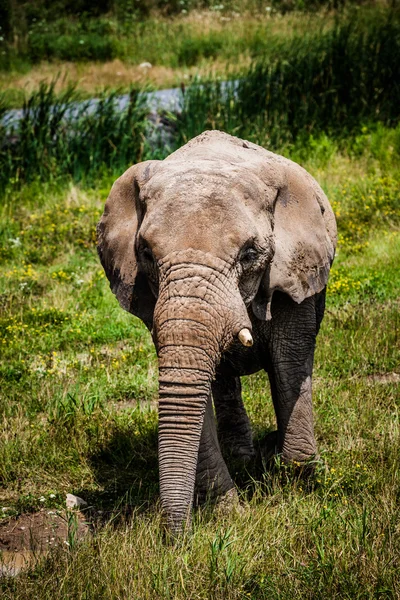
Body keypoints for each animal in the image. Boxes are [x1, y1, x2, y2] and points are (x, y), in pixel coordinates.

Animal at [97, 130, 338, 536]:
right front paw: (227, 512)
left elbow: (290, 361)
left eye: (250, 254)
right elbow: (190, 383)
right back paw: (243, 458)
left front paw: (297, 486)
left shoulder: (294, 271)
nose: (175, 540)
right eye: (145, 253)